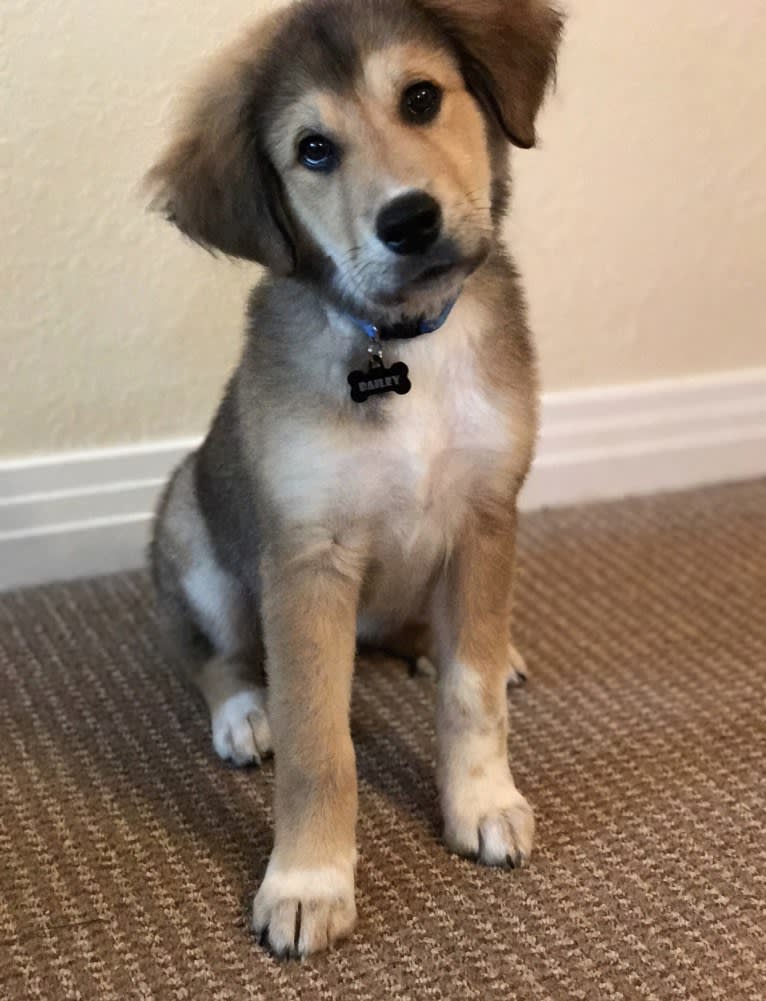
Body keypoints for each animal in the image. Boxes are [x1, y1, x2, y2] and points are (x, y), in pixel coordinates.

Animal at [146, 0, 560, 956]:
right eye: (314, 150)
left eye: (421, 98)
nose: (408, 220)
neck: (402, 348)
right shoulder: (307, 559)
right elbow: (317, 744)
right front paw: (310, 880)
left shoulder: (487, 516)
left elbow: (471, 692)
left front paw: (481, 799)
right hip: (193, 527)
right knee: (211, 651)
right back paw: (242, 711)